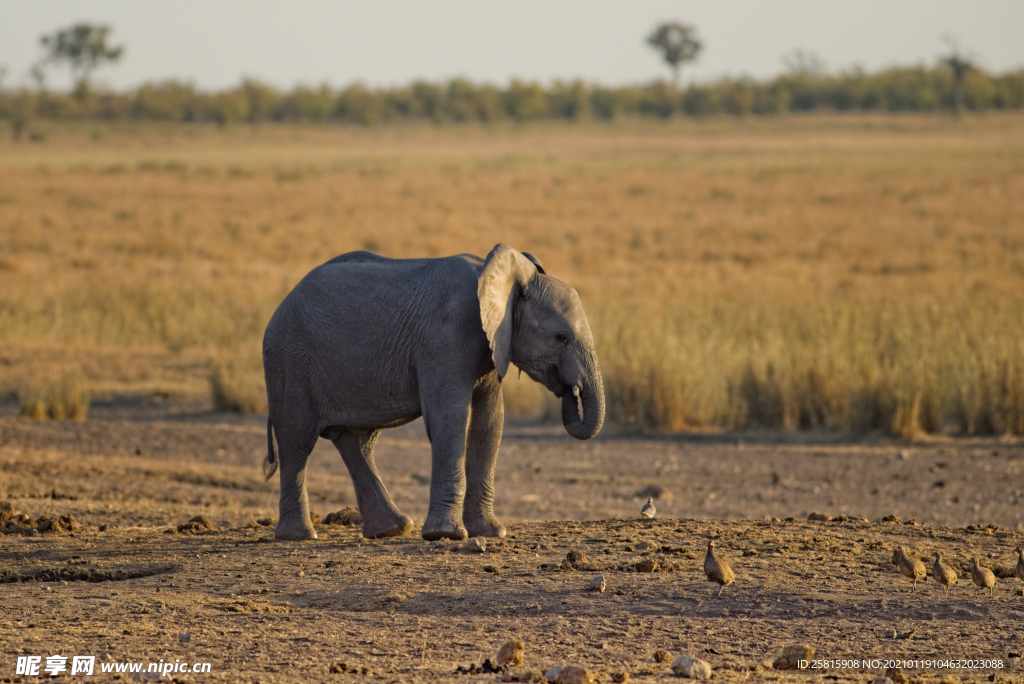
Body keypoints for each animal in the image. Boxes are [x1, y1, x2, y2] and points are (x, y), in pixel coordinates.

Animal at [260, 242, 602, 540]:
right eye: (561, 338)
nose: (570, 391)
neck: (502, 276)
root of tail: (278, 309)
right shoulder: (447, 337)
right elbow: (449, 419)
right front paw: (446, 535)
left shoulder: (492, 345)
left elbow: (490, 421)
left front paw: (492, 532)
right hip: (289, 361)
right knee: (297, 441)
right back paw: (301, 536)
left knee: (356, 441)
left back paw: (393, 529)